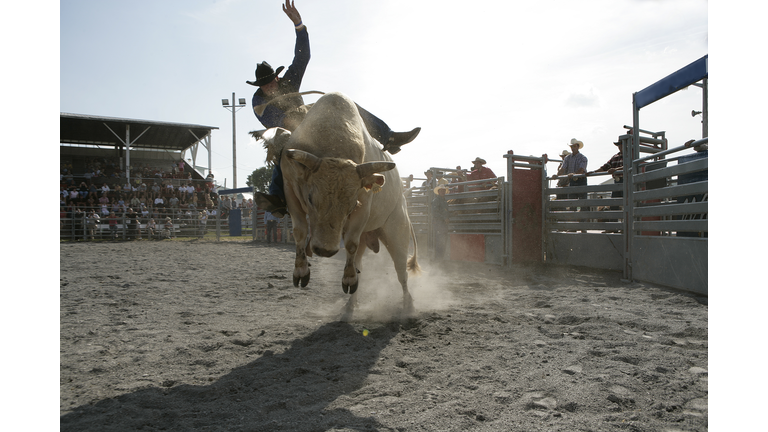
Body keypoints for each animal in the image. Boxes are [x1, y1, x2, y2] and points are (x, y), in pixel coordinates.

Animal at [260, 92, 424, 320]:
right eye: (310, 198)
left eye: (352, 204)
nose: (325, 250)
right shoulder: (290, 188)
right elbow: (300, 231)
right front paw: (301, 271)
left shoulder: (364, 203)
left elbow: (351, 244)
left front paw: (347, 280)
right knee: (358, 266)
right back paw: (349, 307)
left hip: (397, 233)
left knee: (401, 274)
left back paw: (408, 307)